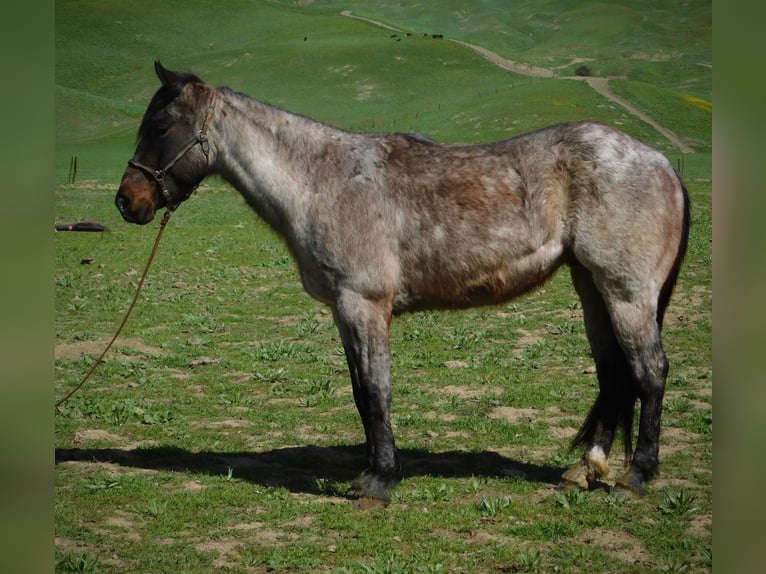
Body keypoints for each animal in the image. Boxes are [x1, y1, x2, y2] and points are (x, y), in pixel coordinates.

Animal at [117, 62, 692, 504]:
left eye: (162, 126)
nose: (127, 201)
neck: (321, 181)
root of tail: (661, 161)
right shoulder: (343, 309)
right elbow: (359, 392)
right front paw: (374, 471)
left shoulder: (364, 304)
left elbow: (376, 391)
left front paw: (379, 482)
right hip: (592, 287)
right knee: (614, 373)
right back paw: (585, 470)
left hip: (627, 293)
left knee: (649, 372)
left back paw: (636, 478)